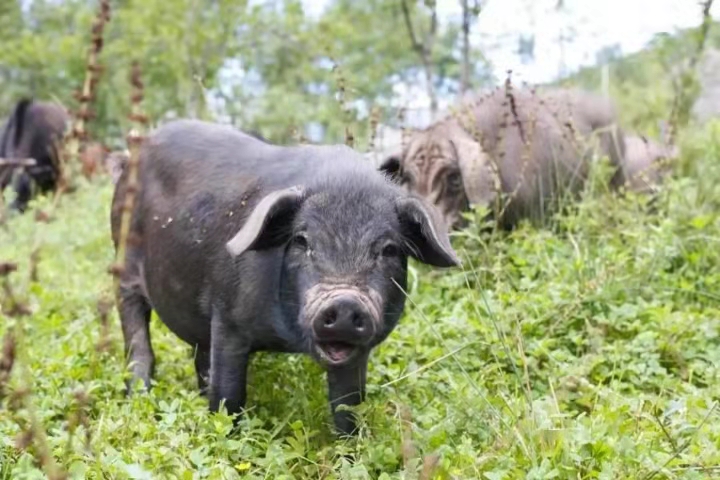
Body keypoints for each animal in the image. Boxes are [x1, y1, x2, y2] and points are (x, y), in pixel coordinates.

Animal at [111, 120, 462, 436]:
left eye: (388, 249)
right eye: (302, 241)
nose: (345, 302)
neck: (288, 341)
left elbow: (348, 405)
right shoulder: (227, 317)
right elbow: (229, 394)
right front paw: (223, 437)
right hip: (123, 262)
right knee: (138, 342)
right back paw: (137, 399)